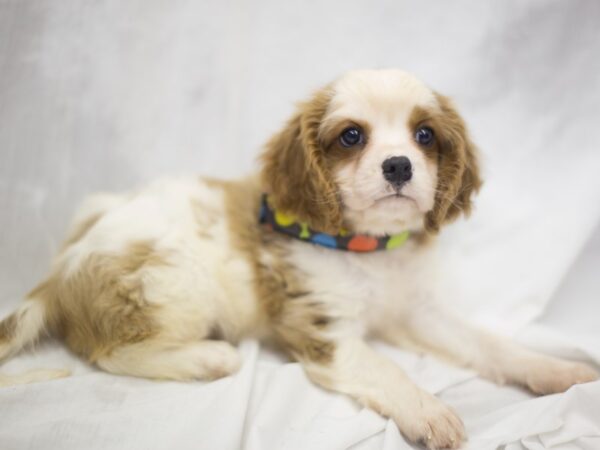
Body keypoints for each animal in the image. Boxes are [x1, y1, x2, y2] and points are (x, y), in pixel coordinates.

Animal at [2, 68, 596, 448]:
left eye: (425, 135)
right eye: (351, 136)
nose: (399, 165)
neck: (371, 250)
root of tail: (57, 274)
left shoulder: (417, 312)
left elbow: (489, 343)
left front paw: (553, 368)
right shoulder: (323, 330)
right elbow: (386, 368)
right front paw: (429, 411)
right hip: (176, 282)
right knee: (108, 352)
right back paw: (209, 359)